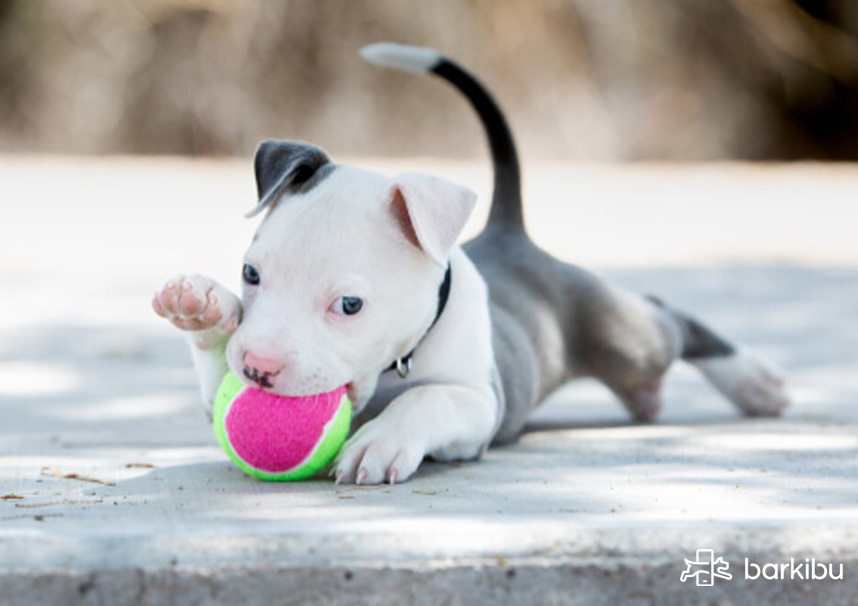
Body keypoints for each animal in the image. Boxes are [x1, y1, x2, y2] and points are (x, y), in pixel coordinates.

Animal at [150, 42, 784, 486]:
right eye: (251, 275)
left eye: (350, 305)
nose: (258, 369)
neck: (395, 365)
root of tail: (509, 230)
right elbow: (215, 369)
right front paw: (201, 307)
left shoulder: (480, 403)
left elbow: (429, 398)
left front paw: (380, 440)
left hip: (621, 333)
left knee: (663, 316)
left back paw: (756, 382)